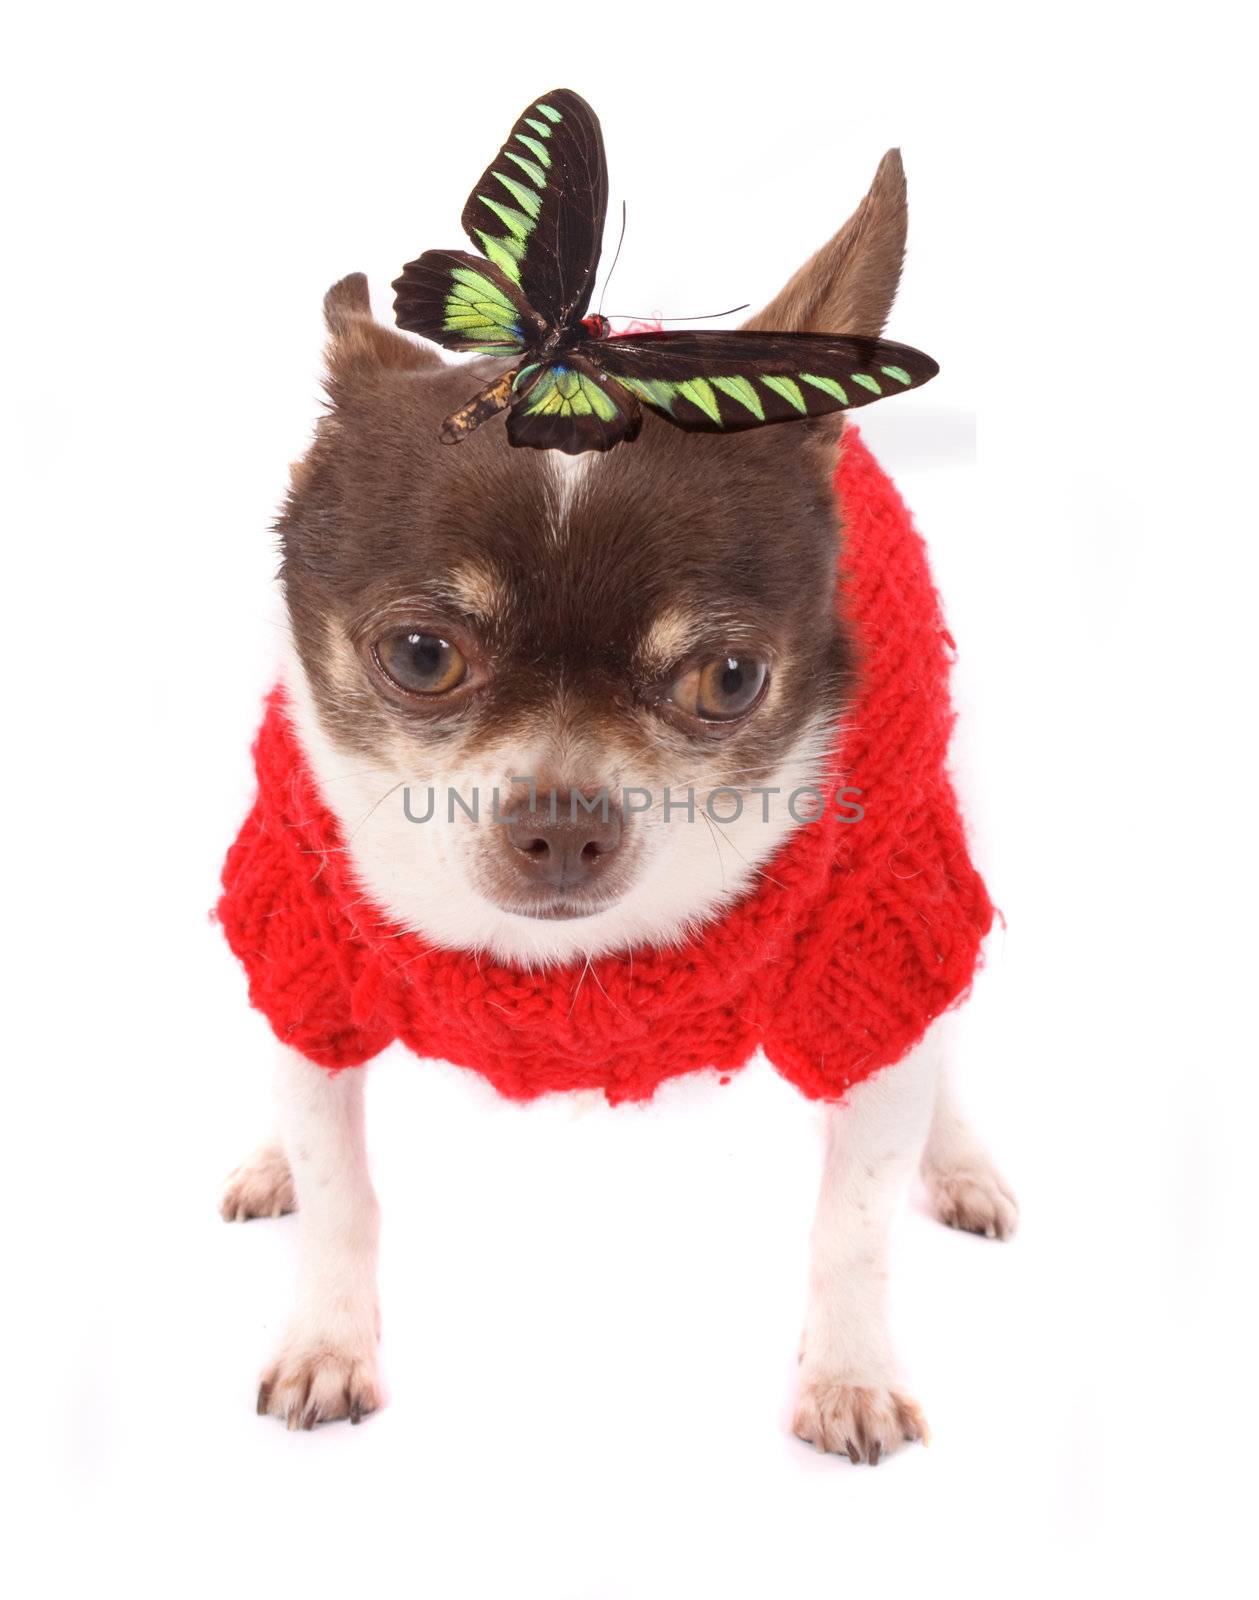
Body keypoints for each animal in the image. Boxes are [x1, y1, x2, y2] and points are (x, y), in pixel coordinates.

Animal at [222, 150, 1017, 1465]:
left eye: (728, 680)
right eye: (422, 656)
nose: (562, 820)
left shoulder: (871, 946)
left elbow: (850, 1221)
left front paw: (848, 1372)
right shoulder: (308, 952)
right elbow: (340, 1187)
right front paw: (327, 1341)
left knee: (934, 1044)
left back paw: (953, 1161)